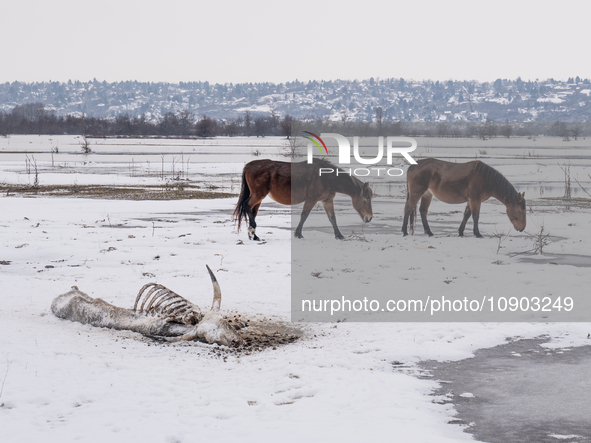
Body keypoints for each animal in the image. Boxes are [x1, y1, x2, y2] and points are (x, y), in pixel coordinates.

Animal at [234, 160, 372, 241]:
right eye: (366, 199)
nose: (369, 218)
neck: (327, 176)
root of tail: (249, 165)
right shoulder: (311, 199)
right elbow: (304, 215)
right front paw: (298, 234)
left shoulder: (327, 200)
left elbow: (332, 218)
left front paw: (339, 235)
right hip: (258, 195)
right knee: (247, 206)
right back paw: (253, 232)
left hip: (258, 198)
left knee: (252, 211)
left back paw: (253, 234)